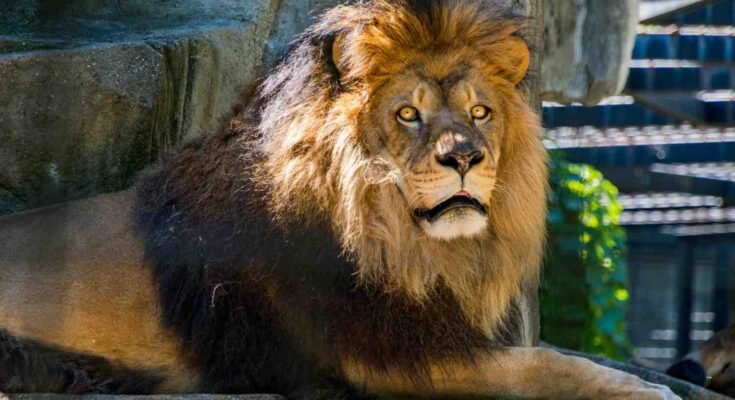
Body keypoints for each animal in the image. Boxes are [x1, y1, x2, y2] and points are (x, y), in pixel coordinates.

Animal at [0, 1, 679, 398]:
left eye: (481, 113)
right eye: (408, 114)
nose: (465, 158)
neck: (406, 248)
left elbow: (543, 357)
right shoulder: (376, 358)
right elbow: (543, 365)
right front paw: (649, 390)